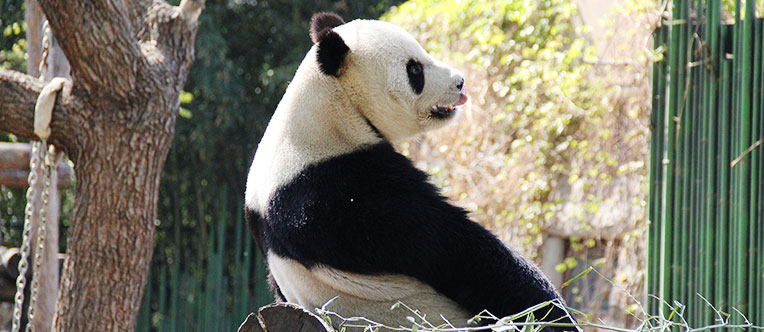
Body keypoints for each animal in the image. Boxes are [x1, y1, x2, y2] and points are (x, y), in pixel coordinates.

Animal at [245, 12, 580, 332]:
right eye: (415, 70)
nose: (460, 82)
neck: (329, 109)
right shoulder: (339, 189)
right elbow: (454, 248)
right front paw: (550, 313)